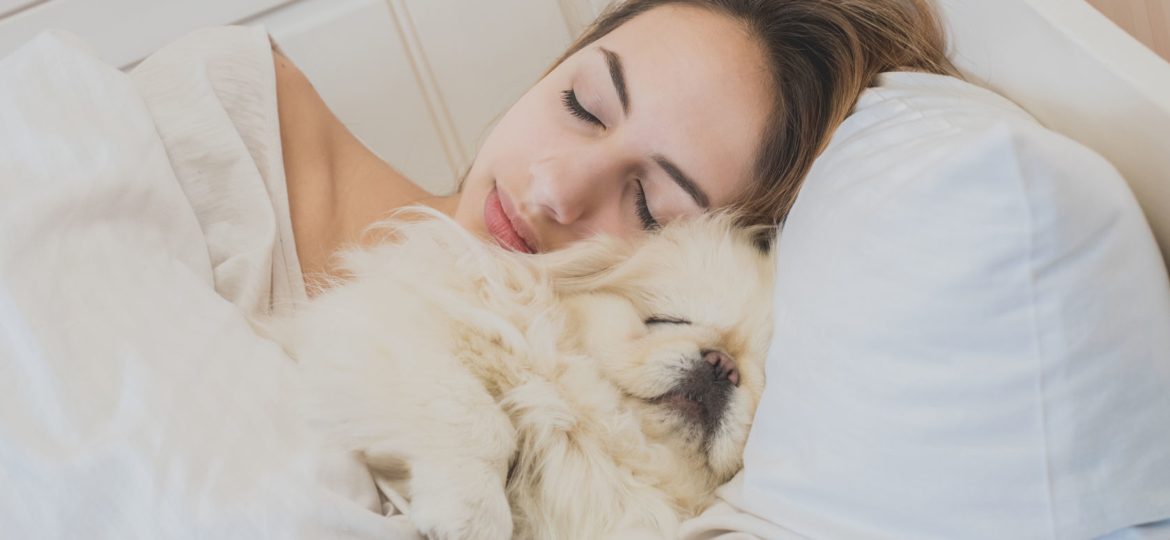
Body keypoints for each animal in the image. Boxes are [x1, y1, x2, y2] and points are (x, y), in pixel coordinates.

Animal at [266, 210, 776, 540]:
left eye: (762, 386)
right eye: (666, 320)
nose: (722, 365)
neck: (604, 442)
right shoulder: (392, 329)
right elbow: (478, 417)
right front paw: (472, 514)